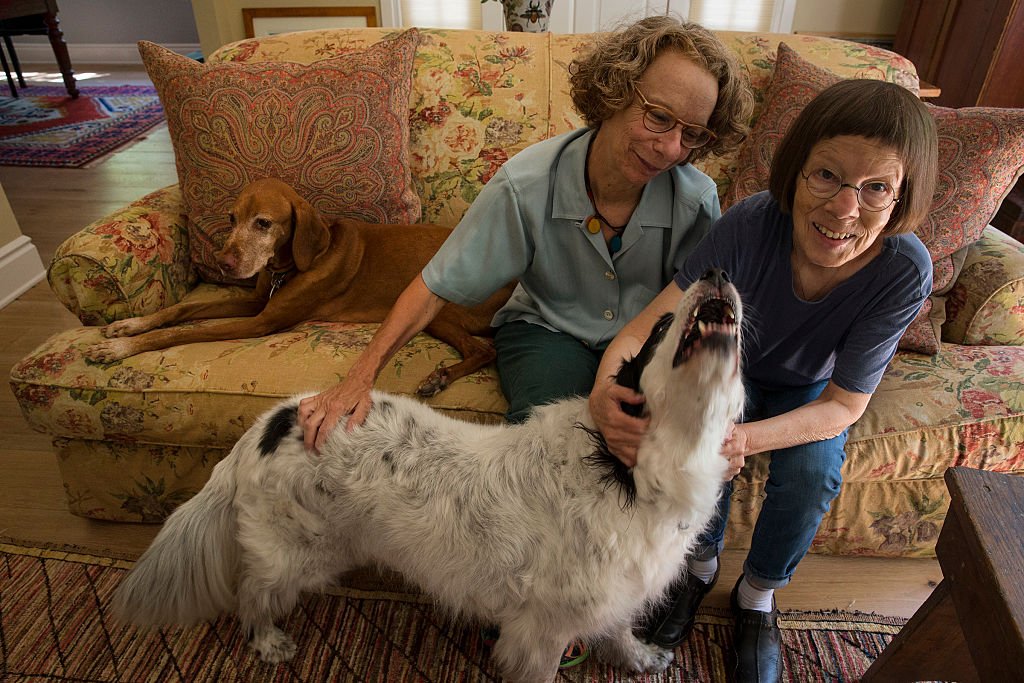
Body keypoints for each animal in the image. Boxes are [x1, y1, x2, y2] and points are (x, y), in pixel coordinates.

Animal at [87, 179, 516, 397]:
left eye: (263, 223)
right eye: (232, 218)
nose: (224, 263)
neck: (289, 266)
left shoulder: (260, 322)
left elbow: (179, 333)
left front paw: (121, 348)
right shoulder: (256, 303)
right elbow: (180, 311)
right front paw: (128, 326)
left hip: (440, 307)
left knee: (486, 350)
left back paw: (439, 378)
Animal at [114, 270, 745, 679]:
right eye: (661, 327)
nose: (716, 270)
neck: (629, 472)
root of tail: (269, 423)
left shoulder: (616, 595)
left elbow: (619, 630)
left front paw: (641, 658)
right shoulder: (540, 633)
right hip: (295, 555)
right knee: (251, 593)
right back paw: (268, 643)